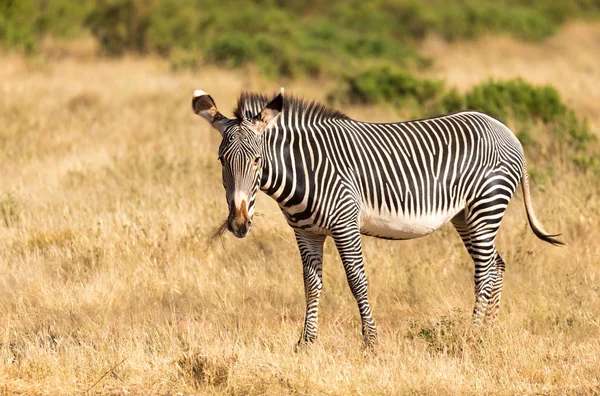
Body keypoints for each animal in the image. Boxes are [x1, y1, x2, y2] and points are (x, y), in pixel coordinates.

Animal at [192, 88, 564, 348]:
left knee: (485, 271)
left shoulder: (344, 224)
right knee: (497, 264)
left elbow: (357, 281)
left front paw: (371, 342)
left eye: (257, 160)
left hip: (486, 205)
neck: (305, 170)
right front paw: (305, 343)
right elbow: (311, 285)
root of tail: (505, 129)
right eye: (222, 160)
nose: (238, 224)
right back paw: (489, 331)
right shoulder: (306, 232)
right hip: (466, 216)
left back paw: (471, 335)